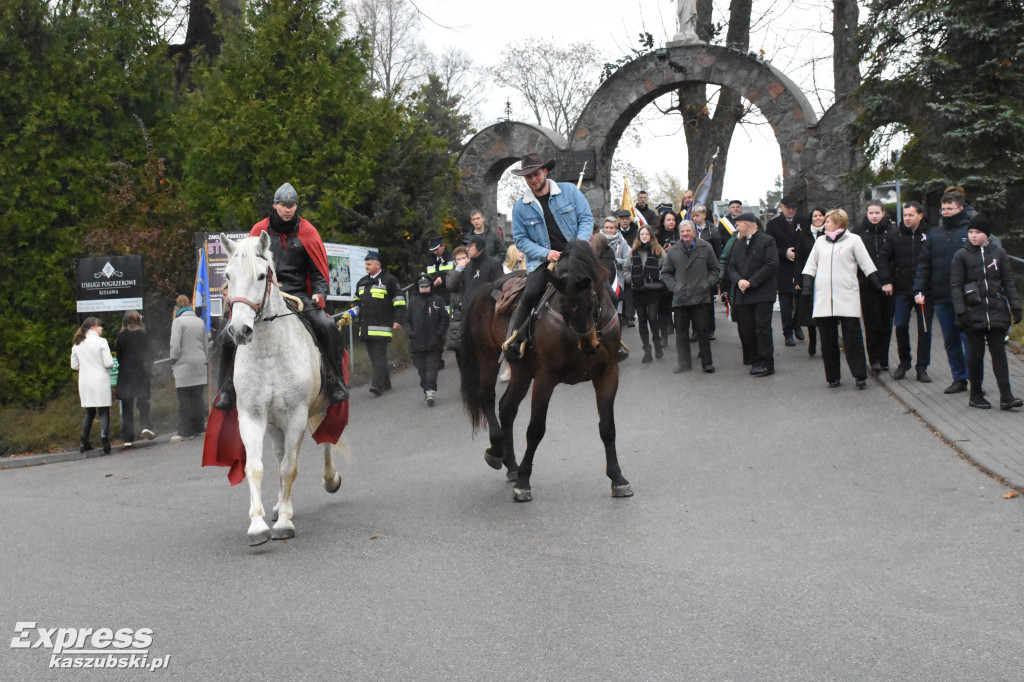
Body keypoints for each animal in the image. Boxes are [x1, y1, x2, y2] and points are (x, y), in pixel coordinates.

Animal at [221, 231, 344, 544]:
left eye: (262, 275)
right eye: (227, 275)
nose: (239, 331)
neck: (269, 352)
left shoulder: (296, 416)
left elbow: (290, 467)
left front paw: (285, 523)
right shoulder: (251, 415)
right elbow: (256, 467)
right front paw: (257, 525)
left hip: (321, 407)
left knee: (326, 439)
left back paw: (329, 480)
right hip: (275, 423)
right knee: (278, 457)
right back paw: (277, 506)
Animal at [458, 238, 630, 499]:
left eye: (592, 301)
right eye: (565, 307)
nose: (589, 345)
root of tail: (485, 288)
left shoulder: (608, 373)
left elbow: (608, 427)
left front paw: (618, 478)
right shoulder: (545, 378)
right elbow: (535, 429)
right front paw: (524, 483)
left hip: (521, 371)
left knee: (506, 408)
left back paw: (511, 465)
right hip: (487, 356)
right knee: (487, 398)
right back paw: (497, 450)